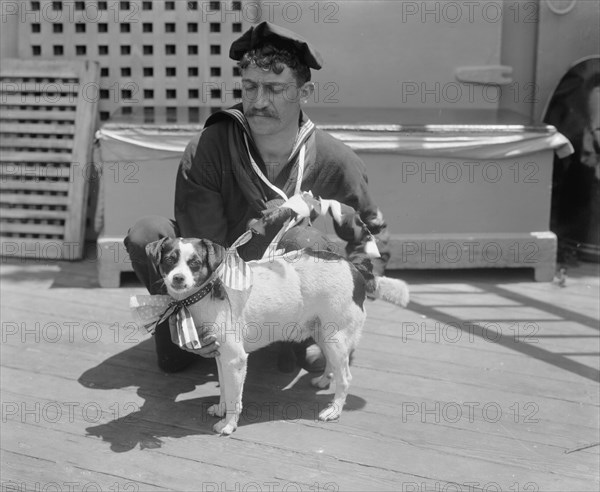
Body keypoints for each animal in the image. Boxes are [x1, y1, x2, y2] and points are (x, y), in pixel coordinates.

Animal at [146, 238, 408, 434]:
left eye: (195, 263)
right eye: (169, 260)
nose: (178, 278)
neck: (207, 293)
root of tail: (355, 268)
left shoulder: (235, 359)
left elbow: (234, 396)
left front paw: (229, 424)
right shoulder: (221, 356)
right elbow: (225, 389)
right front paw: (221, 408)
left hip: (335, 336)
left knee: (346, 377)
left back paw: (334, 409)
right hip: (324, 333)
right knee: (335, 365)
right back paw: (324, 380)